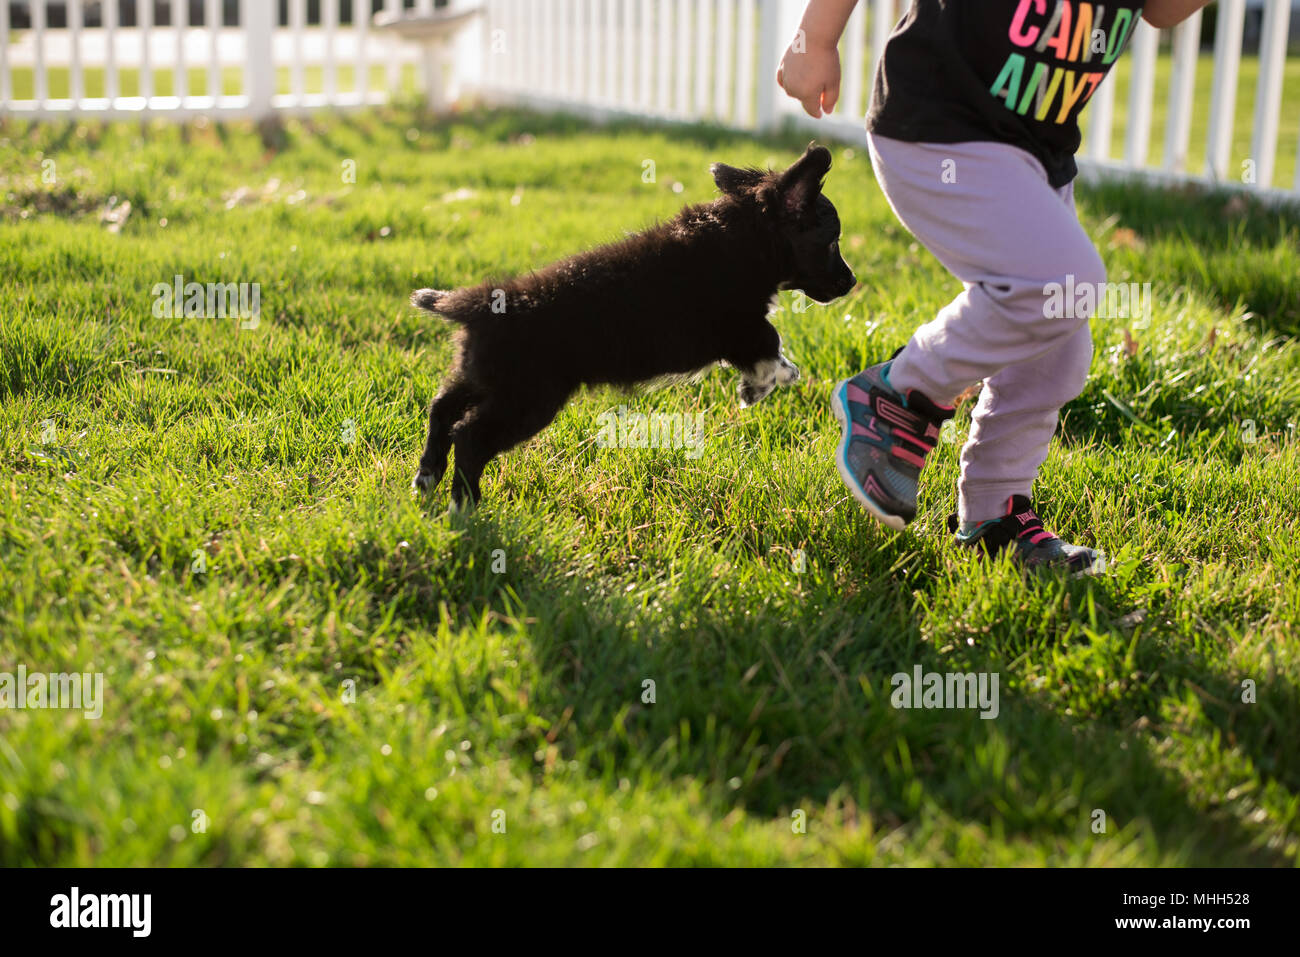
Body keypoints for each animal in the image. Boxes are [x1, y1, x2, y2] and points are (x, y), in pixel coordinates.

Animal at [405, 143, 852, 509]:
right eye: (832, 243)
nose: (851, 283)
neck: (745, 237)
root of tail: (477, 305)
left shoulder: (738, 332)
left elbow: (767, 348)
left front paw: (758, 385)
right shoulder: (739, 326)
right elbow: (771, 344)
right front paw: (767, 382)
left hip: (483, 376)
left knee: (441, 408)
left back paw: (427, 477)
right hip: (527, 399)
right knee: (469, 436)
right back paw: (464, 506)